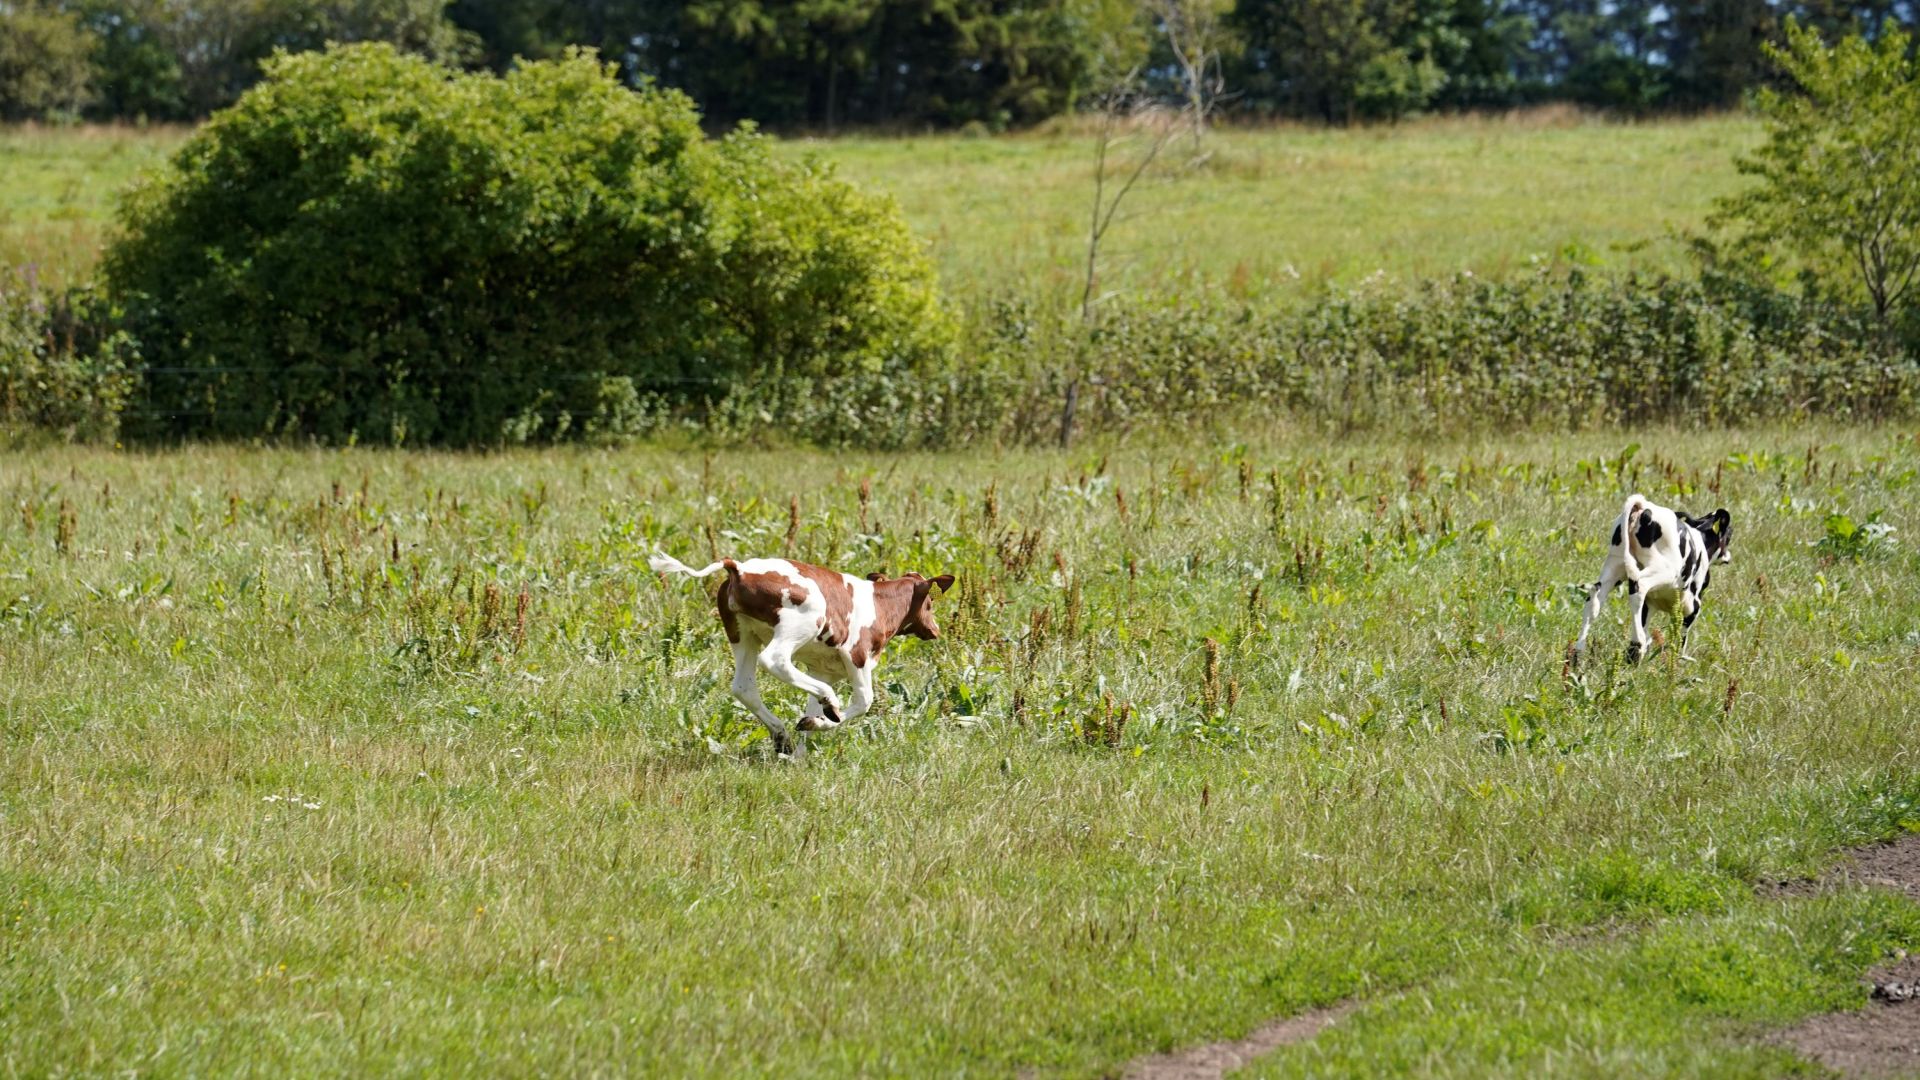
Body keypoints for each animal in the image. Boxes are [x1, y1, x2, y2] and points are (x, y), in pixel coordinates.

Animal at [652, 549, 952, 753]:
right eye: (930, 603)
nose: (935, 629)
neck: (879, 604)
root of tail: (739, 567)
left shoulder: (823, 668)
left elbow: (811, 708)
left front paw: (802, 748)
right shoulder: (857, 656)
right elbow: (864, 701)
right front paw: (825, 719)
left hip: (742, 633)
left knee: (743, 686)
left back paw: (782, 737)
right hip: (801, 622)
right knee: (775, 661)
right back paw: (829, 701)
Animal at [1574, 495, 1743, 661]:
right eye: (1729, 535)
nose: (1728, 556)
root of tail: (1644, 506)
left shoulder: (1651, 603)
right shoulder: (1692, 607)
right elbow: (1680, 639)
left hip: (1615, 565)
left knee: (1594, 597)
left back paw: (1578, 654)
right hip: (1663, 570)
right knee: (1638, 587)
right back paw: (1636, 647)